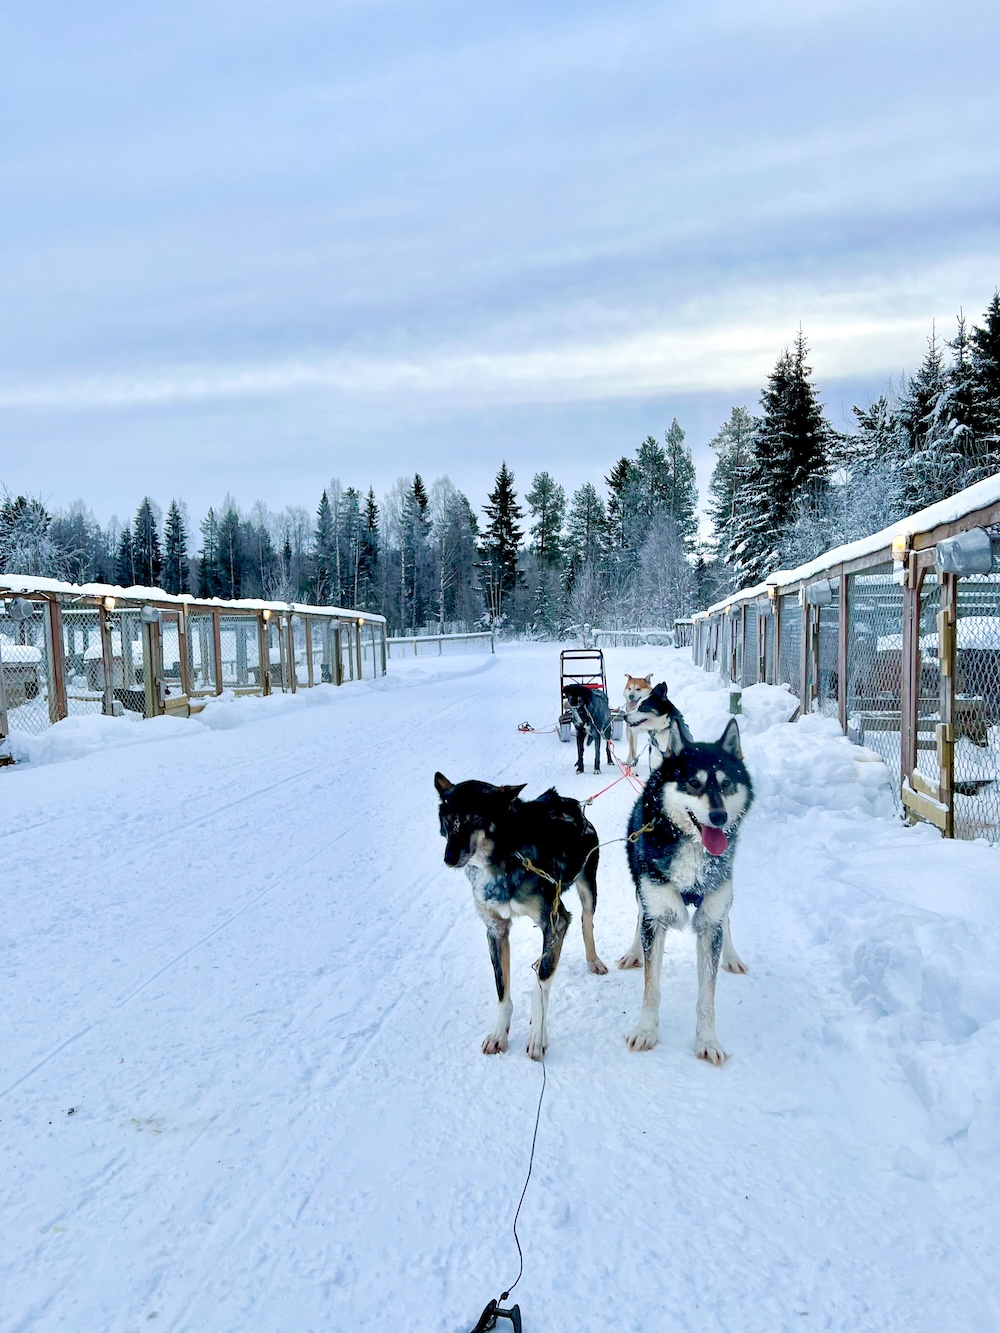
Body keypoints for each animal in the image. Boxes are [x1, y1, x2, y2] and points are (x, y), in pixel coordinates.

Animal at [434, 773, 608, 1061]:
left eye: (472, 819)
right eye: (448, 819)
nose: (449, 858)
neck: (507, 854)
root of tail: (572, 804)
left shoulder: (556, 919)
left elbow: (540, 989)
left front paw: (538, 1035)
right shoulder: (496, 930)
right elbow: (502, 990)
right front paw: (498, 1034)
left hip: (587, 887)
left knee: (586, 923)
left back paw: (592, 959)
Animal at [624, 714, 757, 1066]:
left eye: (726, 784)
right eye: (693, 784)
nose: (718, 816)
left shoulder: (710, 920)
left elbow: (707, 996)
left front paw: (708, 1040)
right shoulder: (655, 915)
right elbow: (651, 987)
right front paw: (646, 1031)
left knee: (727, 920)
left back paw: (732, 956)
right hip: (640, 884)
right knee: (639, 913)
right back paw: (633, 952)